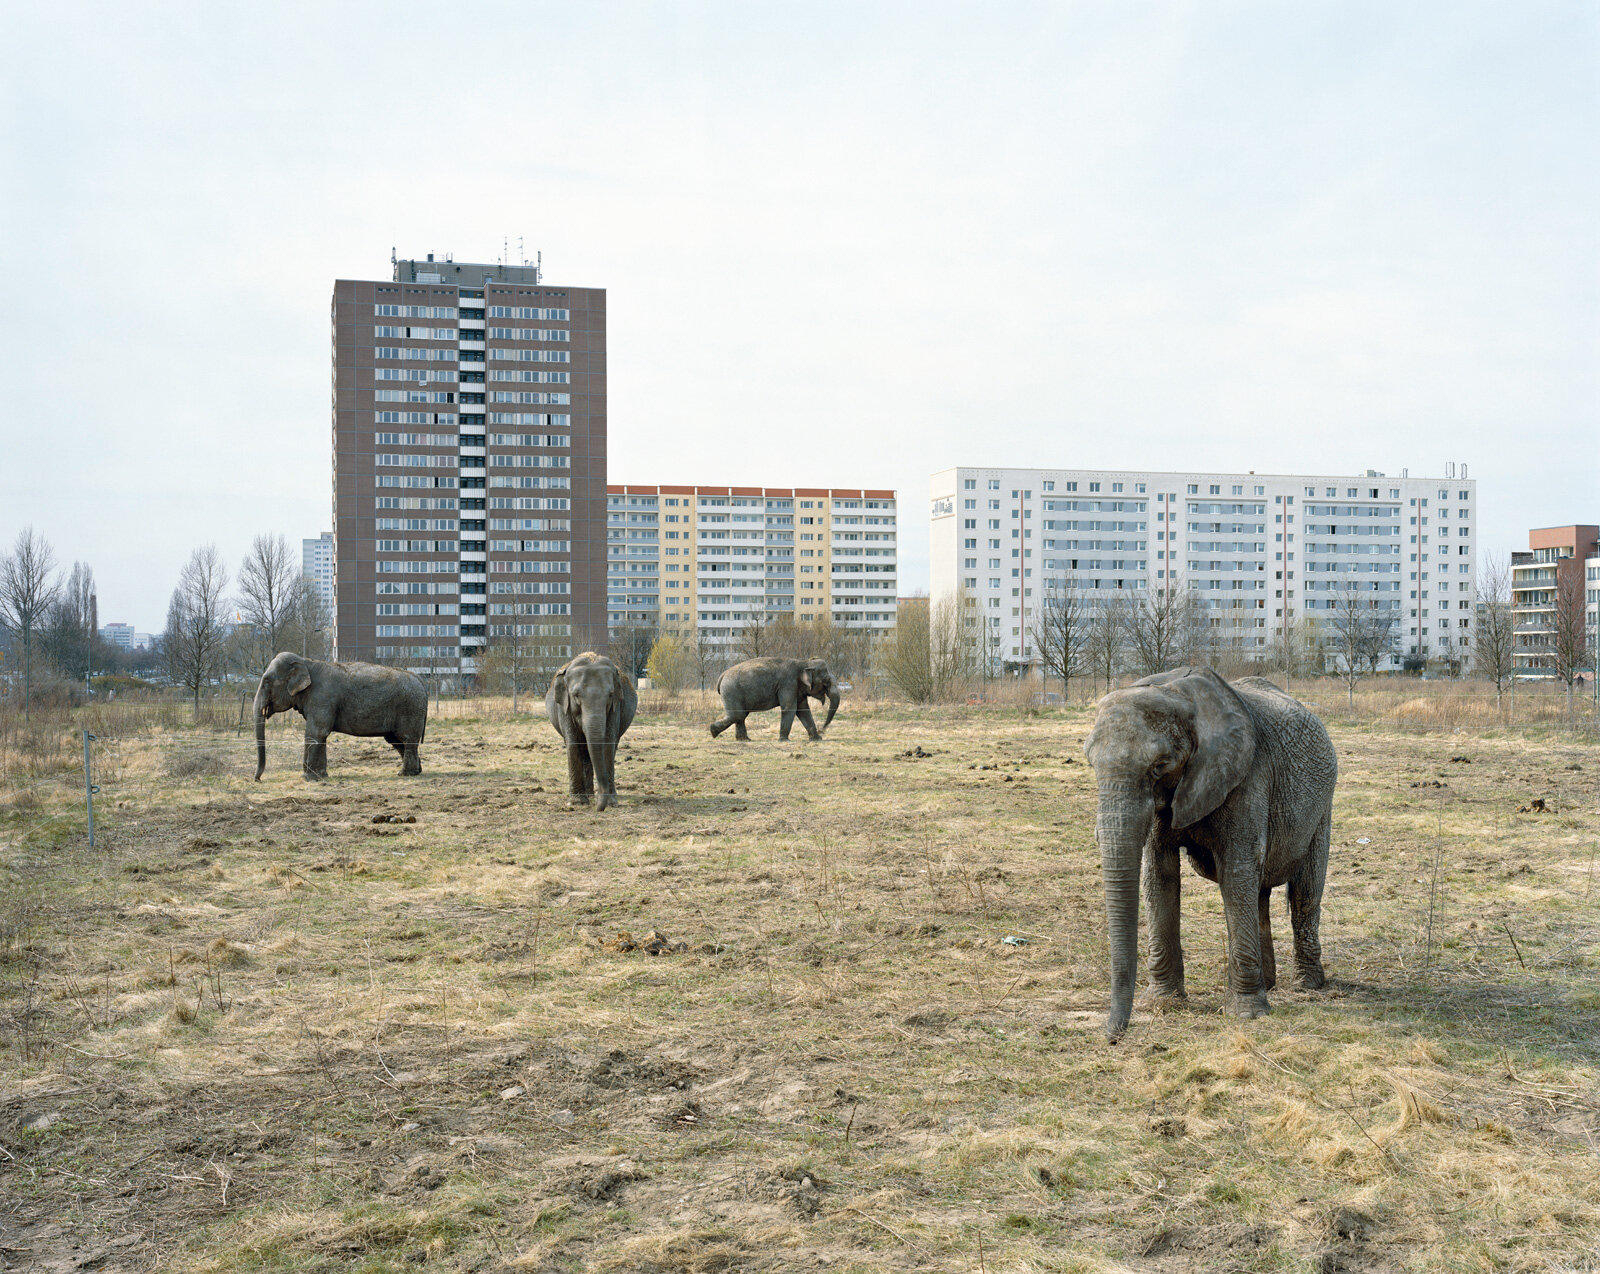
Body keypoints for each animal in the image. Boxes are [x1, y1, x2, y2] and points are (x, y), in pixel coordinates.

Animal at [251, 653, 428, 781]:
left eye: (266, 681)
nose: (257, 779)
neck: (306, 661)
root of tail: (420, 679)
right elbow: (320, 735)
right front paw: (321, 776)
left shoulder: (322, 698)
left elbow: (316, 732)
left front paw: (308, 778)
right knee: (396, 740)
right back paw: (417, 771)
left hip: (410, 708)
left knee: (407, 739)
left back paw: (405, 774)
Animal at [544, 653, 630, 809]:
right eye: (576, 695)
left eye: (610, 695)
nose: (598, 808)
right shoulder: (564, 708)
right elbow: (573, 744)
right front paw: (577, 802)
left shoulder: (616, 707)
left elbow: (608, 744)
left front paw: (610, 802)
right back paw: (589, 796)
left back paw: (592, 795)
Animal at [710, 653, 844, 742]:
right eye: (826, 682)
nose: (822, 730)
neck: (803, 663)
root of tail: (722, 676)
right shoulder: (788, 684)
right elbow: (790, 708)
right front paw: (784, 740)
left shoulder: (797, 689)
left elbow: (803, 710)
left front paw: (816, 739)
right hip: (731, 691)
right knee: (738, 715)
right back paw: (713, 731)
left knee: (740, 715)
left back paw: (744, 740)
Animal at [1075, 672, 1337, 1037]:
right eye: (1091, 763)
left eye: (1160, 766)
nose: (1112, 1038)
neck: (1176, 694)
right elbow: (1159, 874)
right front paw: (1164, 1003)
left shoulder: (1247, 776)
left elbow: (1237, 871)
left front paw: (1246, 1015)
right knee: (1259, 892)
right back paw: (1269, 984)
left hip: (1323, 806)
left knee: (1304, 894)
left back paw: (1307, 985)